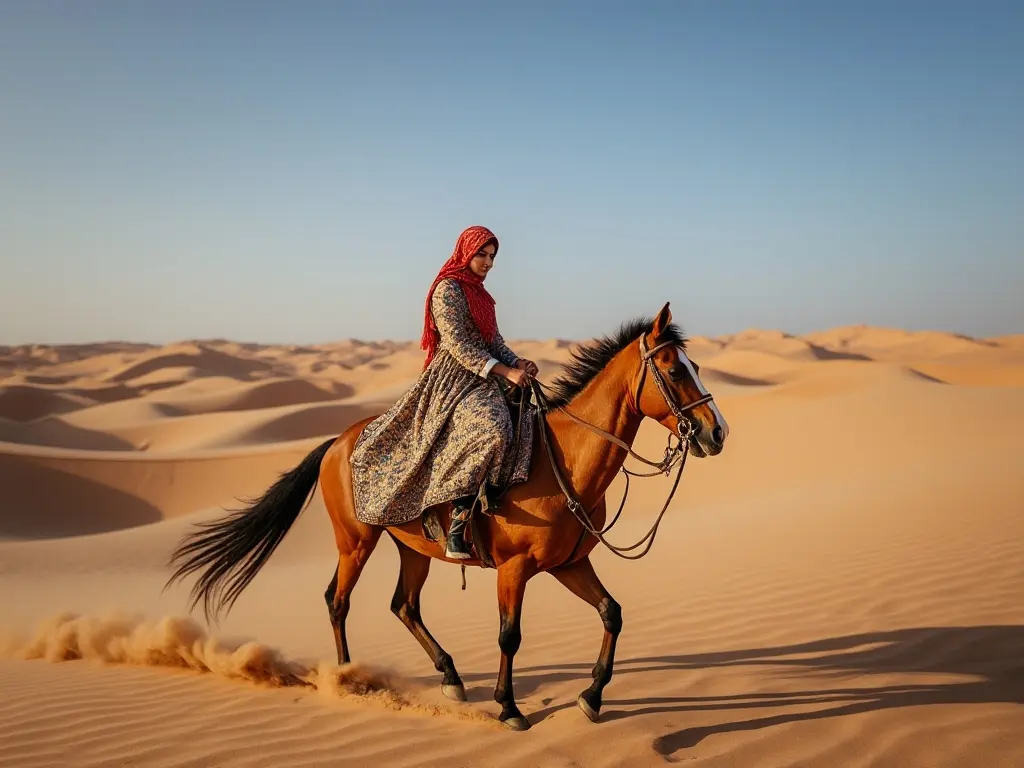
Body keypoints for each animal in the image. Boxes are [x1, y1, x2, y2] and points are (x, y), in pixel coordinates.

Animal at [165, 303, 729, 729]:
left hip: (413, 548)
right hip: (356, 542)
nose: (716, 432)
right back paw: (348, 678)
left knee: (404, 605)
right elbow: (509, 635)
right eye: (674, 369)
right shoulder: (513, 569)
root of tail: (337, 442)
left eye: (696, 367)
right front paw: (509, 708)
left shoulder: (568, 564)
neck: (562, 460)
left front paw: (591, 697)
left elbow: (612, 613)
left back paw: (451, 678)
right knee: (337, 601)